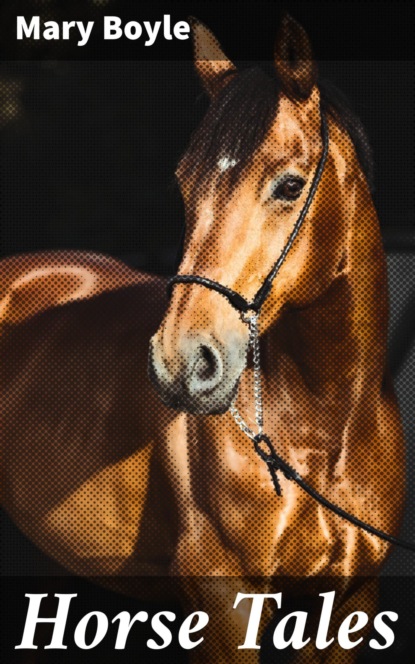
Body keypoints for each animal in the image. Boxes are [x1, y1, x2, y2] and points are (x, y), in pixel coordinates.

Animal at [1, 14, 407, 663]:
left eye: (289, 185)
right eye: (185, 183)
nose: (180, 362)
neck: (321, 433)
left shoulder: (347, 603)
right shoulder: (225, 606)